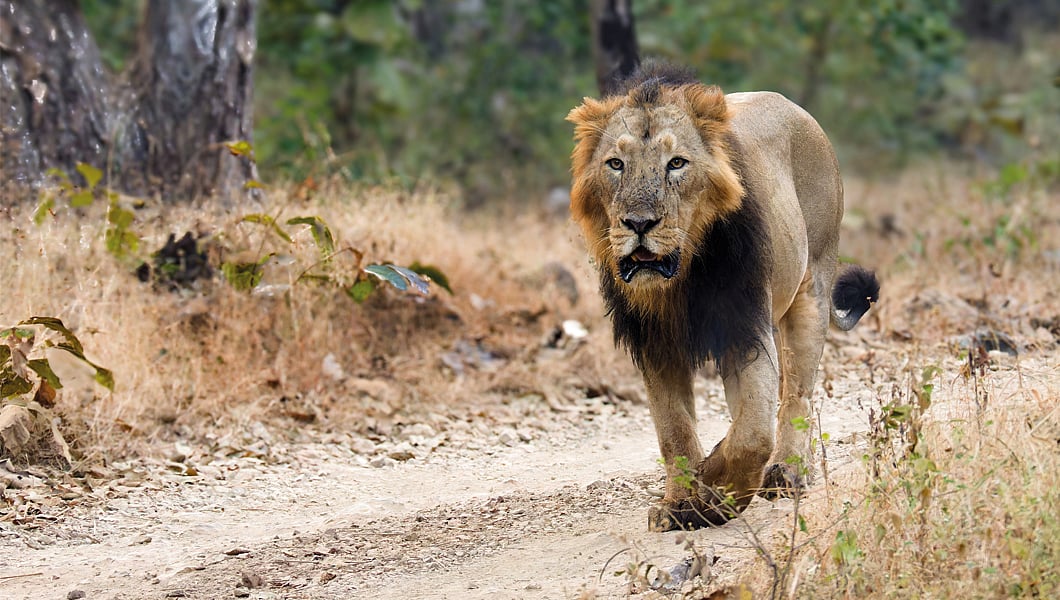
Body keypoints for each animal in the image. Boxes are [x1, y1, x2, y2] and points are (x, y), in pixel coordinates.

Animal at [567, 63, 879, 531]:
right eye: (616, 164)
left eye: (677, 163)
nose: (638, 223)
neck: (680, 282)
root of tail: (796, 109)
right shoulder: (654, 343)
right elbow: (674, 430)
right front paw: (681, 503)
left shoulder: (746, 329)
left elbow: (753, 433)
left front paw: (714, 490)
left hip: (813, 287)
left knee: (797, 394)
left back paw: (786, 473)